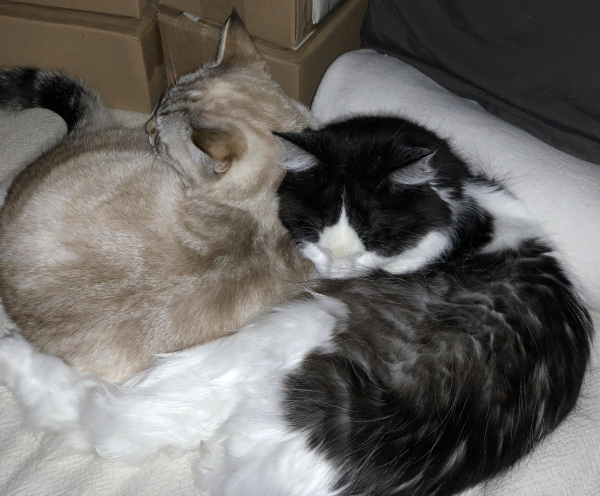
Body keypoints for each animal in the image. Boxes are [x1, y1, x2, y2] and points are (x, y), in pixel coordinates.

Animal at [0, 115, 592, 496]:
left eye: (374, 236)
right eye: (318, 228)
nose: (338, 267)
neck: (463, 215)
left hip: (294, 324)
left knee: (109, 418)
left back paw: (12, 353)